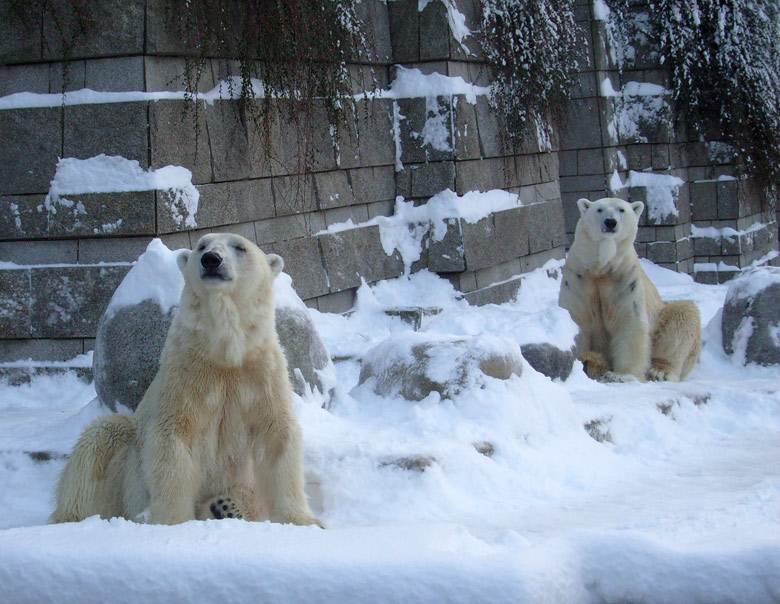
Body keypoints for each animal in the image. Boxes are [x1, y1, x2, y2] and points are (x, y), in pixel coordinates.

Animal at [50, 234, 322, 528]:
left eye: (240, 247)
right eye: (202, 245)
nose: (211, 259)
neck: (224, 352)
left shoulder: (261, 372)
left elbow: (276, 435)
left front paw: (305, 521)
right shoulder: (186, 371)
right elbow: (174, 436)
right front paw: (172, 521)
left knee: (248, 493)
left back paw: (225, 506)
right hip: (124, 467)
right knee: (99, 441)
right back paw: (72, 518)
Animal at [556, 197, 704, 382]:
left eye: (621, 209)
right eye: (599, 209)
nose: (610, 222)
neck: (601, 268)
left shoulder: (625, 279)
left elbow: (630, 321)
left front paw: (621, 375)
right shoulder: (578, 279)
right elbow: (577, 321)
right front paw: (581, 360)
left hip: (663, 315)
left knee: (682, 315)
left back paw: (660, 371)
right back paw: (593, 362)